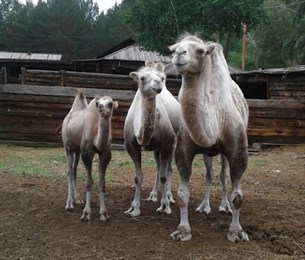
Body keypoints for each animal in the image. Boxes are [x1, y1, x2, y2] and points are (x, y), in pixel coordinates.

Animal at [61, 89, 117, 221]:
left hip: (77, 149)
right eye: (98, 104)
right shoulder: (86, 154)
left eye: (110, 103)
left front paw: (104, 214)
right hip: (68, 147)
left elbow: (102, 183)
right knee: (69, 171)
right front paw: (86, 213)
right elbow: (89, 183)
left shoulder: (105, 154)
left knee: (74, 170)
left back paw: (78, 199)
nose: (104, 110)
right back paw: (69, 204)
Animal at [123, 60, 180, 216]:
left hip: (173, 144)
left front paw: (165, 206)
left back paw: (169, 197)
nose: (158, 83)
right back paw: (153, 195)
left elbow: (164, 176)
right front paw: (134, 208)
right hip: (155, 149)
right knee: (158, 168)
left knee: (168, 169)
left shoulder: (168, 143)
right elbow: (138, 178)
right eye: (142, 78)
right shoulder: (131, 145)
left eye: (162, 77)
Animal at [169, 33, 249, 243]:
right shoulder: (183, 150)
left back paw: (224, 206)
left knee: (222, 175)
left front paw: (236, 232)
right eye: (174, 48)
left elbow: (238, 197)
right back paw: (204, 206)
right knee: (209, 174)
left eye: (200, 51)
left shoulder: (238, 151)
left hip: (224, 153)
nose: (179, 53)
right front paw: (182, 230)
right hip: (208, 153)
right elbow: (182, 195)